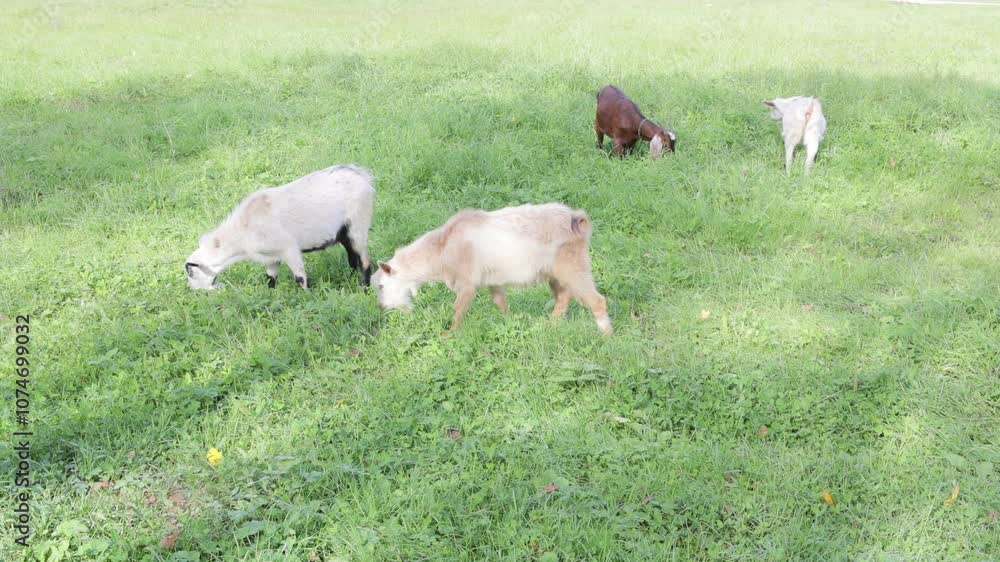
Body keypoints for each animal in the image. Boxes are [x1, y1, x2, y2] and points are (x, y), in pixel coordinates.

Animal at [185, 164, 374, 290]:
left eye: (191, 273)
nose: (195, 290)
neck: (242, 234)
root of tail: (365, 177)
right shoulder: (271, 258)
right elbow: (270, 278)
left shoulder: (289, 249)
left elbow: (300, 277)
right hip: (344, 232)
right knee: (352, 257)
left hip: (358, 225)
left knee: (364, 260)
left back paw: (363, 287)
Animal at [372, 203, 612, 334]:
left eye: (381, 286)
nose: (381, 307)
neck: (441, 247)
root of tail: (576, 220)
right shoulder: (493, 281)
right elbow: (500, 303)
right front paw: (510, 321)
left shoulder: (467, 284)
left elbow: (458, 310)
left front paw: (449, 335)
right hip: (556, 273)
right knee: (563, 297)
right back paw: (551, 325)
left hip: (574, 267)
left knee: (596, 300)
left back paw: (606, 334)